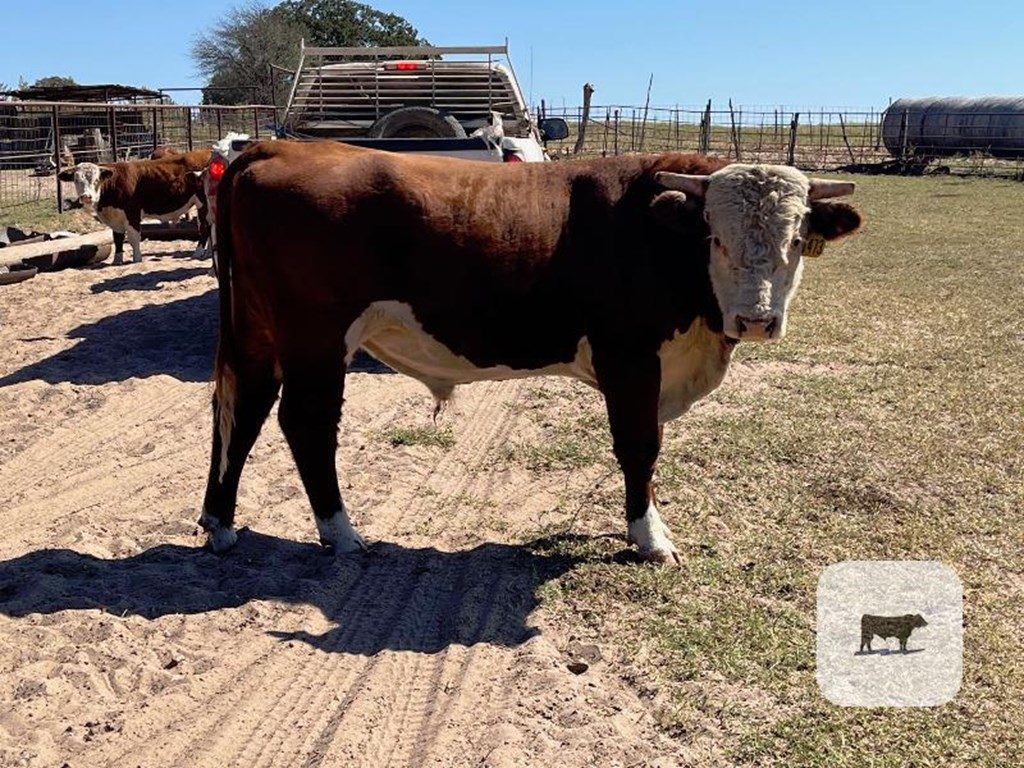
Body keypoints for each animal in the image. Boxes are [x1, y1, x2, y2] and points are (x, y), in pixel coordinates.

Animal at [57, 148, 212, 266]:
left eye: (96, 180)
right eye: (76, 180)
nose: (86, 197)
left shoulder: (132, 213)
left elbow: (133, 238)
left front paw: (137, 259)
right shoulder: (116, 218)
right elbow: (118, 239)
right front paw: (117, 260)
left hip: (203, 204)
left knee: (204, 228)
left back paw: (198, 253)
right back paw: (209, 251)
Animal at [195, 141, 860, 565]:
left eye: (797, 238)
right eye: (715, 239)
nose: (757, 319)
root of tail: (278, 146)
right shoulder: (629, 358)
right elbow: (640, 447)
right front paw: (649, 536)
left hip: (258, 334)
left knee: (242, 413)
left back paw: (221, 524)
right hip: (316, 338)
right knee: (304, 424)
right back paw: (342, 534)